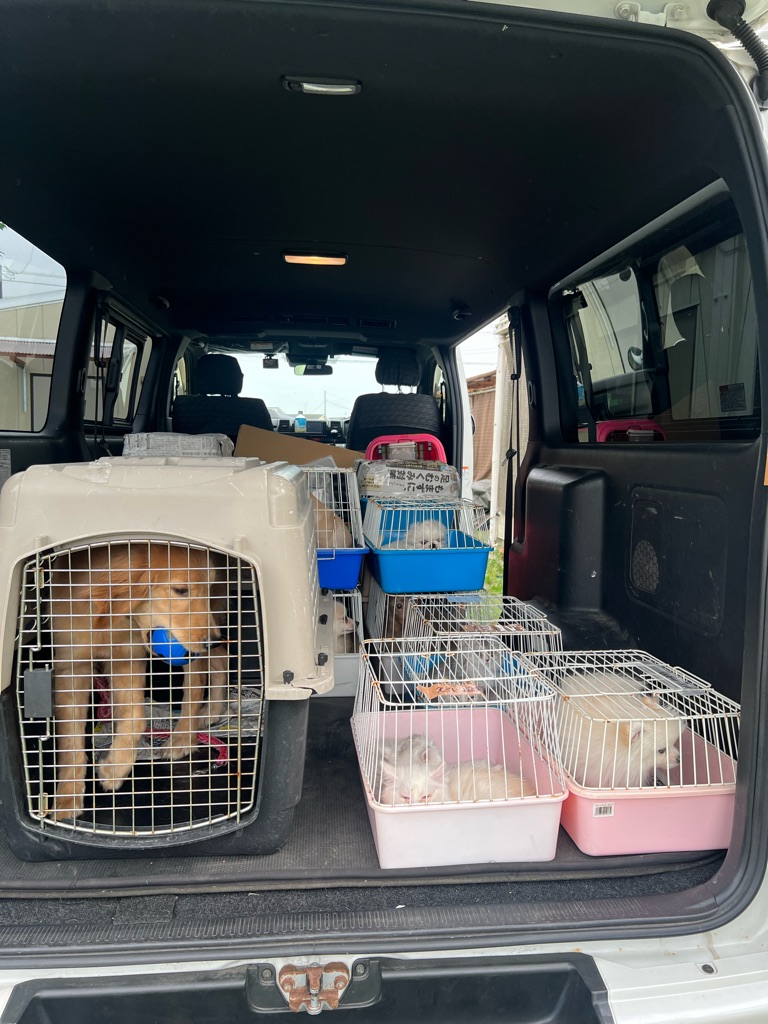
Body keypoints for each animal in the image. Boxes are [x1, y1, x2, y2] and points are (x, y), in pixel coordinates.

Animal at [49, 542, 224, 821]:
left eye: (208, 588)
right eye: (180, 590)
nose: (213, 641)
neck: (109, 617)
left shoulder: (128, 657)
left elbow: (135, 718)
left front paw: (113, 769)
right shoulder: (72, 665)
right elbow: (70, 739)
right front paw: (67, 796)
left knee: (199, 678)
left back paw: (182, 738)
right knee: (220, 661)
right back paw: (212, 711)